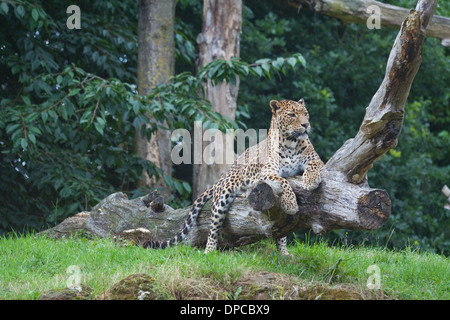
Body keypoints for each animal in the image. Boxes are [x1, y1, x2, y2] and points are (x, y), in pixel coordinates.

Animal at [144, 99, 324, 254]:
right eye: (292, 115)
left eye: (306, 113)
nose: (306, 124)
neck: (290, 143)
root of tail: (222, 177)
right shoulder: (267, 172)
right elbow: (284, 181)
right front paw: (291, 203)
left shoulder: (316, 160)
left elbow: (313, 164)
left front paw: (311, 180)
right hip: (222, 198)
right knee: (213, 228)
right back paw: (209, 251)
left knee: (281, 230)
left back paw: (284, 252)